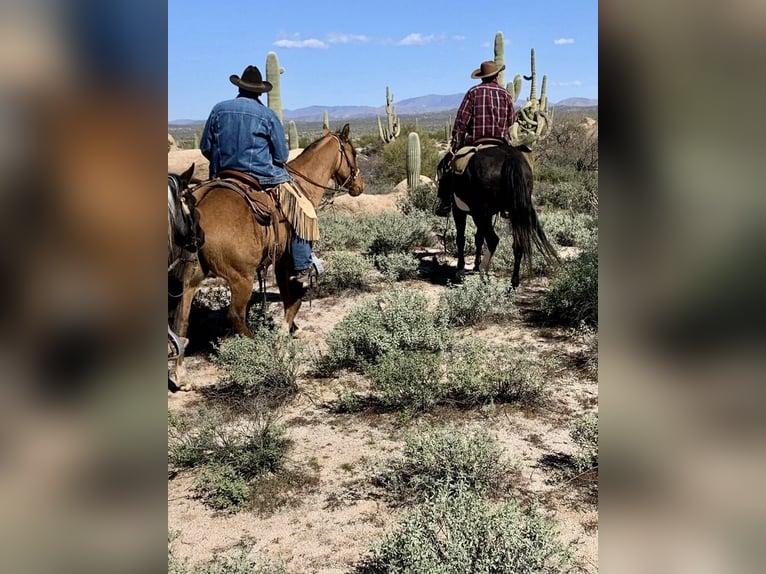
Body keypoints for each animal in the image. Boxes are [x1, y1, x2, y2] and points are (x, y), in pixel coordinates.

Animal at [172, 126, 364, 388]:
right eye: (353, 153)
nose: (360, 186)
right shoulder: (287, 260)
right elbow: (293, 298)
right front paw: (284, 332)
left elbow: (288, 297)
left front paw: (292, 329)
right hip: (241, 278)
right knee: (235, 315)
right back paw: (259, 348)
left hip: (191, 279)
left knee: (181, 320)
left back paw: (181, 375)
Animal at [438, 144, 560, 288]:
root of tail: (509, 158)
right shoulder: (487, 215)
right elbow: (478, 238)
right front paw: (474, 265)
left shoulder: (459, 211)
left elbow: (461, 239)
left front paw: (460, 270)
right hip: (514, 212)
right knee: (518, 244)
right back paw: (513, 283)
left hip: (481, 214)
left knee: (493, 240)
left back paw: (484, 274)